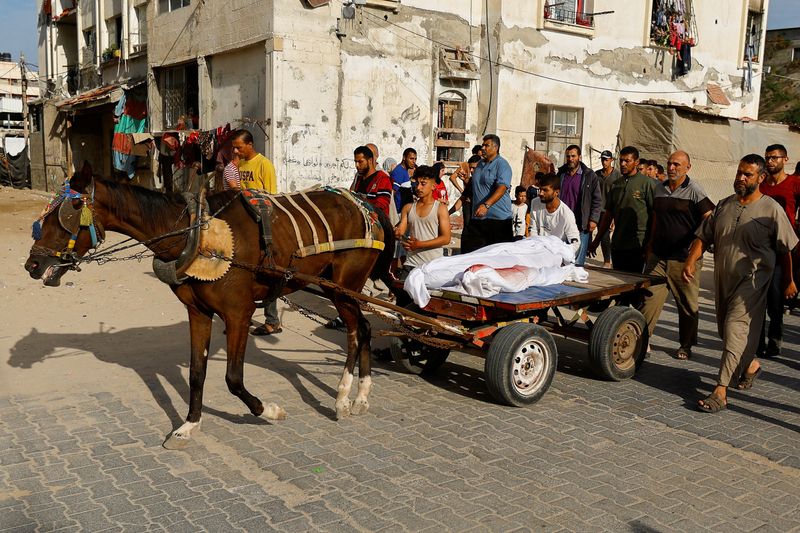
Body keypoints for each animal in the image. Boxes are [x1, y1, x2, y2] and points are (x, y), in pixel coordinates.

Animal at [26, 174, 396, 444]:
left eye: (68, 214)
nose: (32, 264)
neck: (196, 236)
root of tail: (365, 203)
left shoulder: (238, 314)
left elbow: (233, 378)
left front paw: (268, 410)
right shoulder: (198, 312)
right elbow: (196, 372)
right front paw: (189, 425)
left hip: (345, 284)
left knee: (356, 330)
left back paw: (344, 397)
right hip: (335, 285)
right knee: (363, 328)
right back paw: (359, 396)